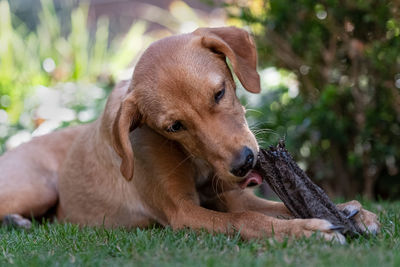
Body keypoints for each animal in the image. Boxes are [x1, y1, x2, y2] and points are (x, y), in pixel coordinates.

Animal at [0, 26, 378, 243]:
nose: (244, 163)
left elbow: (272, 206)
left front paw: (349, 211)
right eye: (174, 127)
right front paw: (305, 231)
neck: (196, 160)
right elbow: (246, 220)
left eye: (220, 93)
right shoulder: (182, 213)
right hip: (38, 186)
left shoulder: (232, 194)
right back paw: (16, 221)